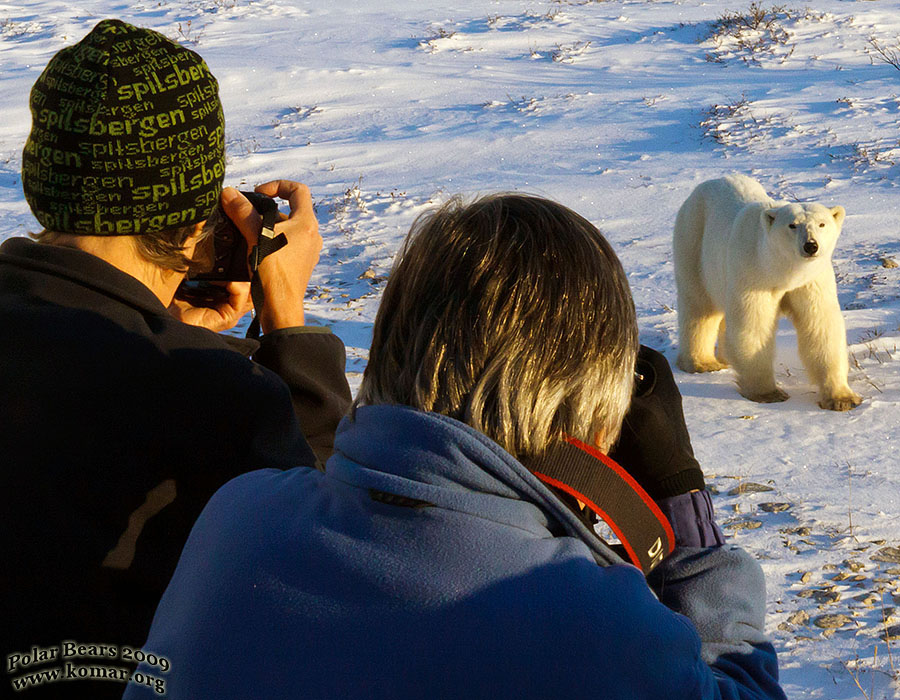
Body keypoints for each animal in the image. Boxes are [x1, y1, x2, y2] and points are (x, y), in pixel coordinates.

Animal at [672, 174, 860, 410]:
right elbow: (755, 325)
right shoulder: (754, 274)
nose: (811, 246)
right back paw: (702, 363)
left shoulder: (810, 281)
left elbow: (820, 326)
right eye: (792, 225)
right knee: (699, 307)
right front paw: (769, 393)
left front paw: (843, 399)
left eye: (822, 224)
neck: (780, 270)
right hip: (694, 241)